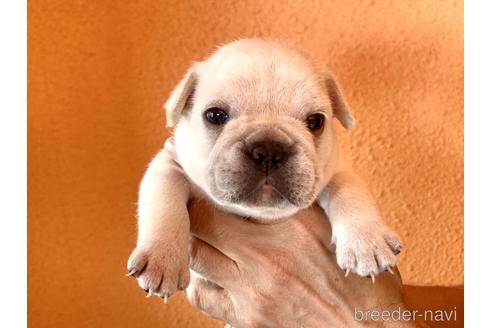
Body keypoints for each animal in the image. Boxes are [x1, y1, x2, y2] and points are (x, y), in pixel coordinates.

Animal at [127, 38, 404, 300]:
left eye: (316, 122)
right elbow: (165, 200)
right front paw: (163, 258)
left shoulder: (336, 170)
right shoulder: (169, 163)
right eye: (214, 115)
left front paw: (366, 241)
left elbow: (349, 191)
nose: (269, 149)